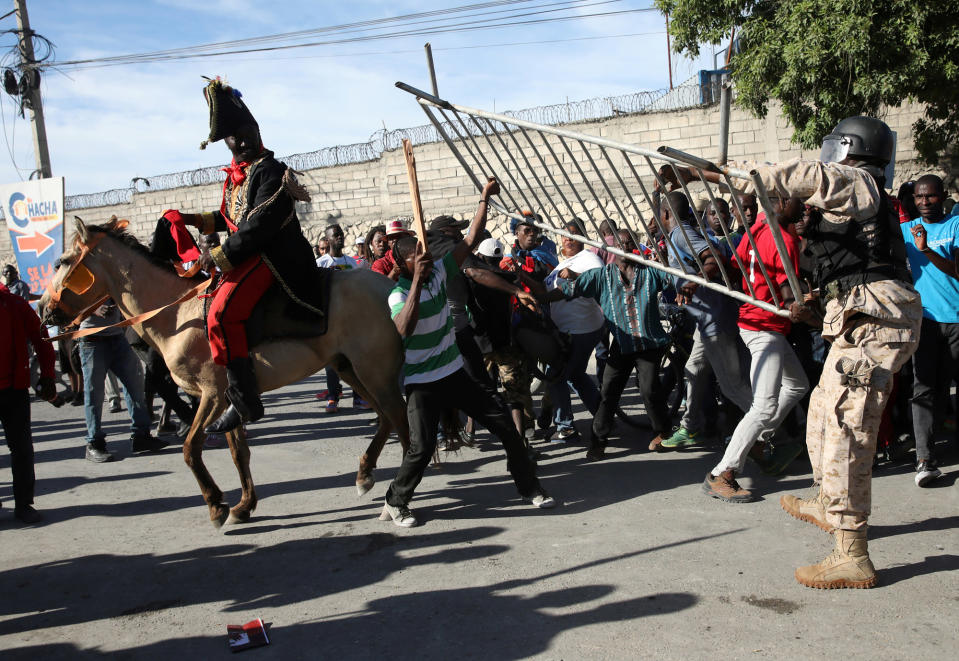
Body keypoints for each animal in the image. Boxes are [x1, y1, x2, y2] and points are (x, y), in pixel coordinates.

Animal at [39, 219, 408, 528]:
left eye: (62, 262)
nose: (43, 309)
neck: (178, 314)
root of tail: (389, 285)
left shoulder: (212, 395)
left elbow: (191, 448)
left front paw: (216, 506)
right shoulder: (229, 400)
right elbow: (237, 452)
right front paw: (243, 506)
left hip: (373, 369)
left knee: (400, 420)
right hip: (350, 368)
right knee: (387, 417)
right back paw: (365, 475)